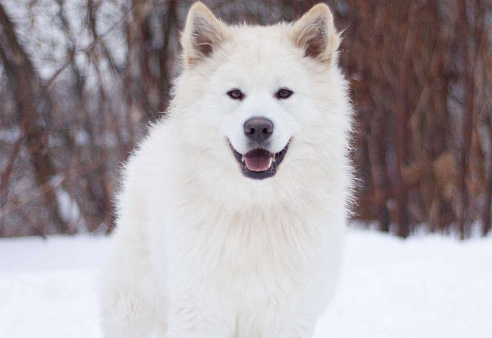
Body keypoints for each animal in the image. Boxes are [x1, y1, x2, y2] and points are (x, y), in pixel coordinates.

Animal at [100, 1, 354, 336]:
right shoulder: (200, 309)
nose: (258, 127)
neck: (255, 209)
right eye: (235, 93)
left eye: (283, 93)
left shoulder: (286, 314)